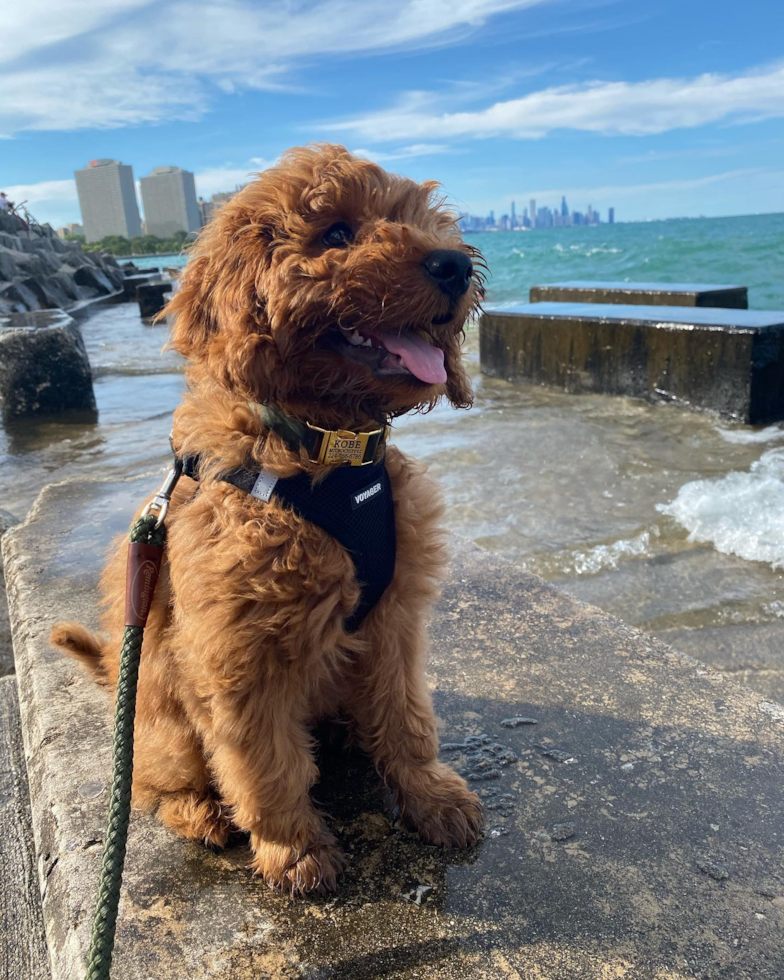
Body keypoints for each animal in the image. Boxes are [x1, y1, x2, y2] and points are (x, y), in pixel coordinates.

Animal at [50, 142, 484, 892]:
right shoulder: (240, 653)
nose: (454, 265)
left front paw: (431, 796)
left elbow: (406, 719)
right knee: (150, 785)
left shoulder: (396, 622)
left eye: (426, 223)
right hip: (164, 722)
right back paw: (200, 812)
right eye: (336, 233)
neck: (326, 450)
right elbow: (265, 764)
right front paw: (295, 850)